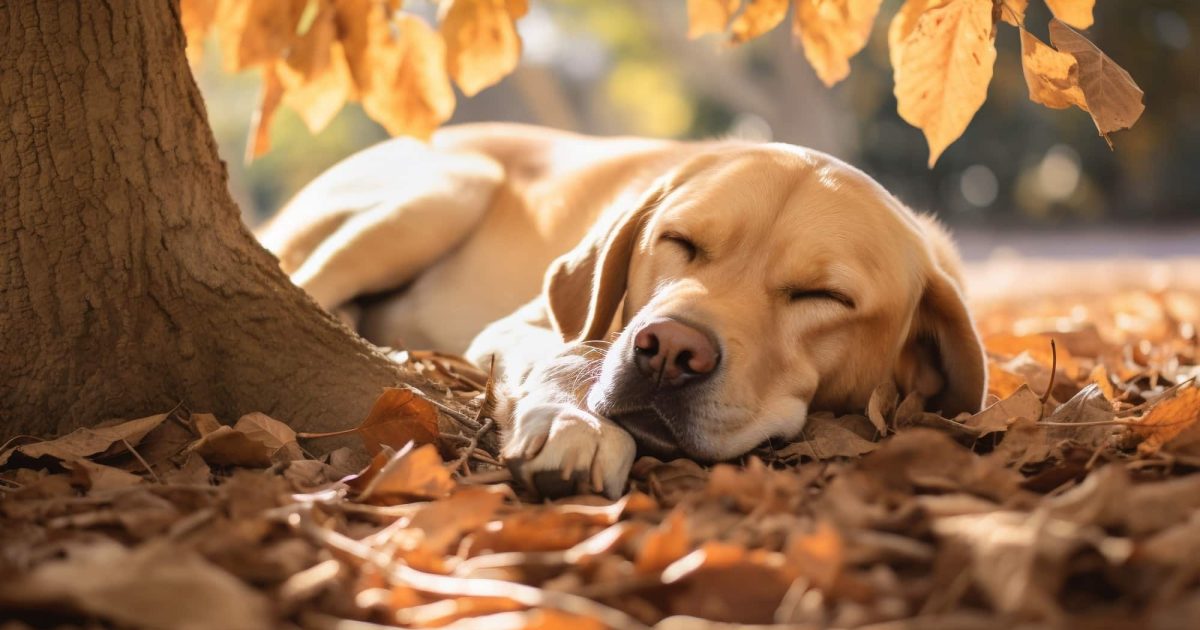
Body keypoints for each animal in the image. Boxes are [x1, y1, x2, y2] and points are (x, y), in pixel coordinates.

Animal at [262, 123, 984, 496]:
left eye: (823, 297)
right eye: (680, 241)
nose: (670, 351)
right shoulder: (523, 324)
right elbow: (570, 353)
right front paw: (576, 424)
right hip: (445, 191)